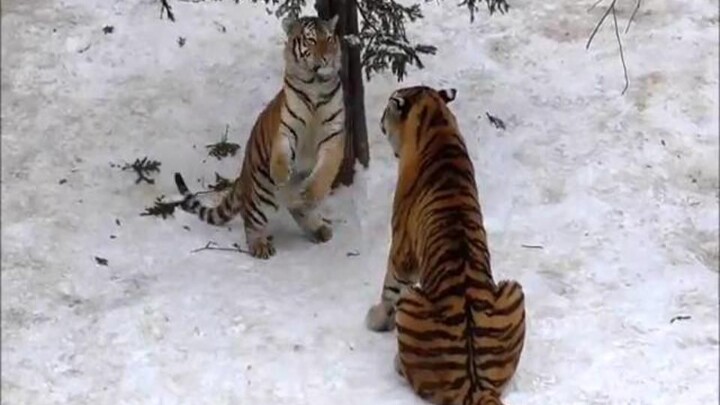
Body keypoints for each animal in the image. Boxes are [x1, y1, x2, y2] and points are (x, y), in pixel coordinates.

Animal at [173, 14, 345, 259]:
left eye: (330, 39)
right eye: (311, 40)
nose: (327, 59)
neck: (316, 85)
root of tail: (243, 174)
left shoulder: (333, 136)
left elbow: (326, 170)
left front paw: (313, 192)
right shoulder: (287, 129)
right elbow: (281, 153)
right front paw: (281, 173)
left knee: (299, 208)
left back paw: (317, 227)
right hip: (260, 194)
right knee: (251, 218)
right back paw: (260, 245)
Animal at [364, 85, 527, 405]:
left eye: (387, 110)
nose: (378, 121)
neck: (436, 120)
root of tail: (476, 386)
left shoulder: (401, 250)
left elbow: (389, 287)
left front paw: (376, 318)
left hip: (411, 300)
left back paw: (397, 361)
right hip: (514, 289)